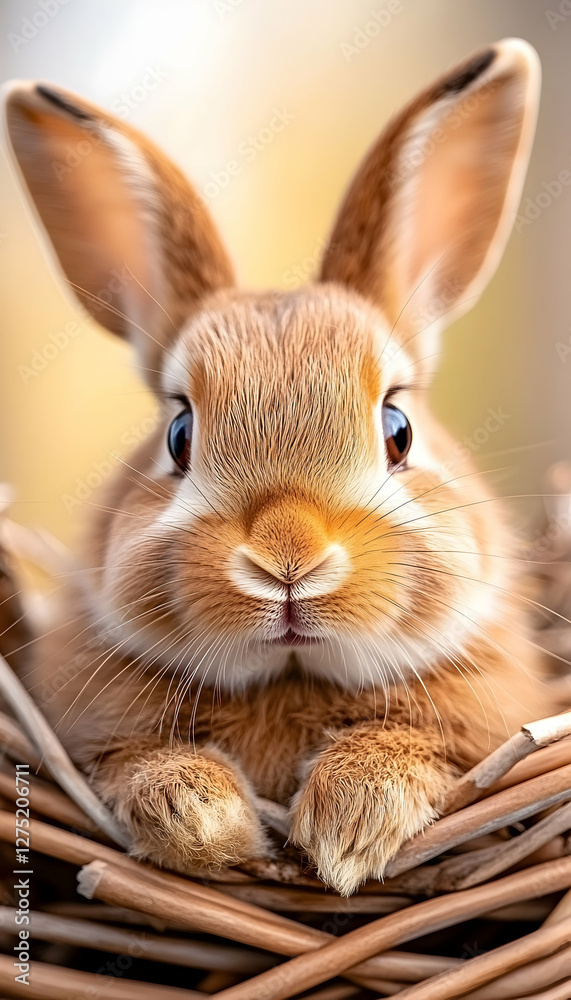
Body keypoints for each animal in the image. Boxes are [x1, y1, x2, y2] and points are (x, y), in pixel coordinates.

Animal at [3, 38, 546, 895]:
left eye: (397, 429)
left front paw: (349, 828)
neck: (292, 677)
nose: (286, 559)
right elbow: (141, 768)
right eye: (179, 434)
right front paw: (206, 822)